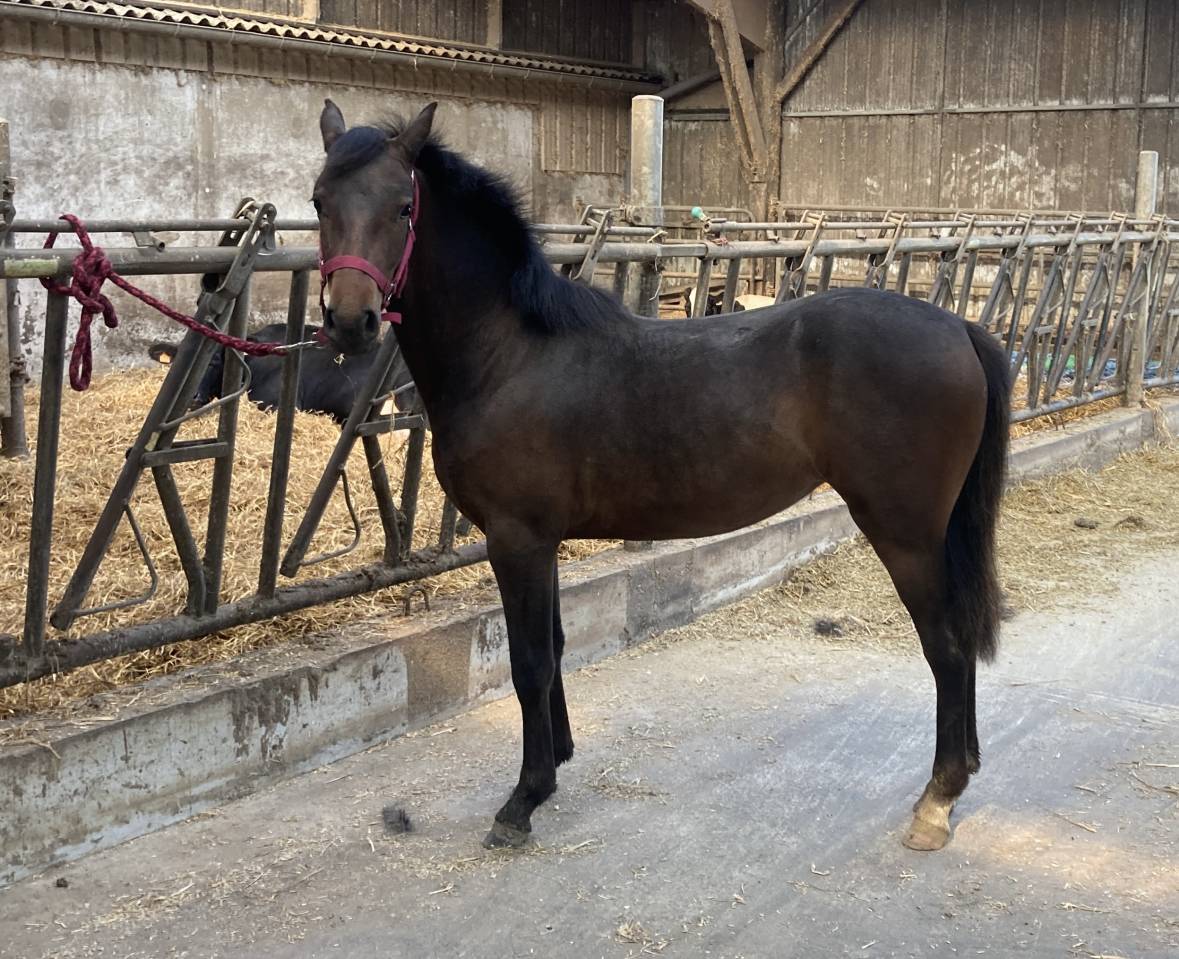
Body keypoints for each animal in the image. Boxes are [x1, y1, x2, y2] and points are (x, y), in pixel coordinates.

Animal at [312, 99, 1011, 853]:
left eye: (402, 206)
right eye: (319, 200)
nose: (349, 321)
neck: (509, 354)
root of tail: (959, 329)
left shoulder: (516, 538)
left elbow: (528, 663)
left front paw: (523, 799)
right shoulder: (541, 542)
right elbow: (554, 648)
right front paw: (556, 761)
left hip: (905, 533)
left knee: (946, 645)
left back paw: (936, 799)